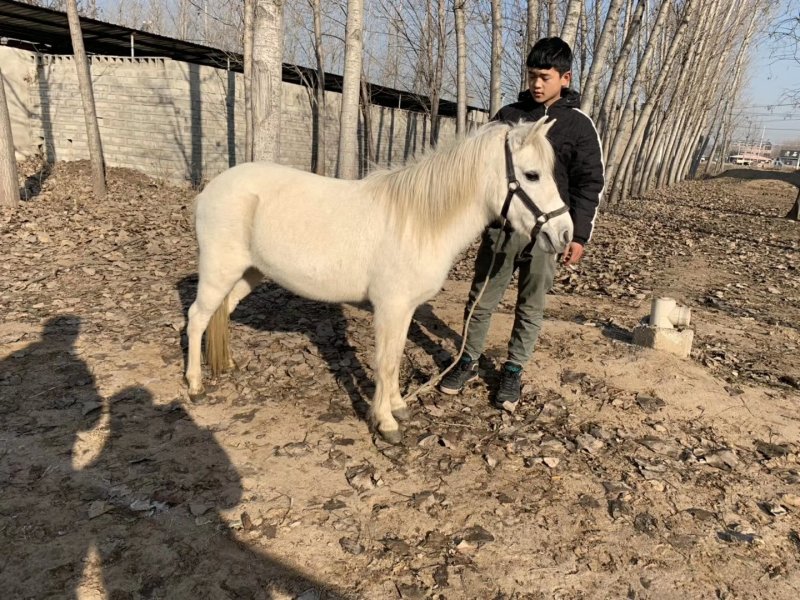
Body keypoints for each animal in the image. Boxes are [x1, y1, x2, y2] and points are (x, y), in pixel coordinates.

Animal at [184, 117, 573, 444]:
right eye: (532, 175)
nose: (565, 234)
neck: (417, 221)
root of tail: (212, 188)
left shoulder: (405, 310)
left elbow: (396, 357)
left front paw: (399, 406)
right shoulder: (391, 307)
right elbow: (385, 362)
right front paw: (386, 423)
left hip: (247, 273)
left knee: (221, 312)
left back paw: (226, 365)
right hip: (219, 271)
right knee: (197, 318)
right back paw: (195, 384)